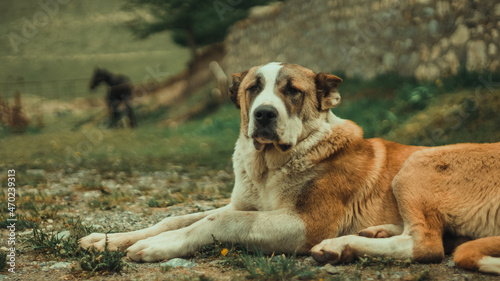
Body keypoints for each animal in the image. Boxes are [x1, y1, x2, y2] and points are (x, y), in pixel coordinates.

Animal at [80, 63, 498, 274]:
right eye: (253, 88)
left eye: (292, 91)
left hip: (416, 164)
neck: (269, 165)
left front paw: (156, 247)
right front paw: (108, 239)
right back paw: (367, 236)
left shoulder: (304, 223)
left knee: (428, 245)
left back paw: (341, 245)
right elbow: (179, 218)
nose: (265, 115)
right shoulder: (245, 205)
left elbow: (218, 222)